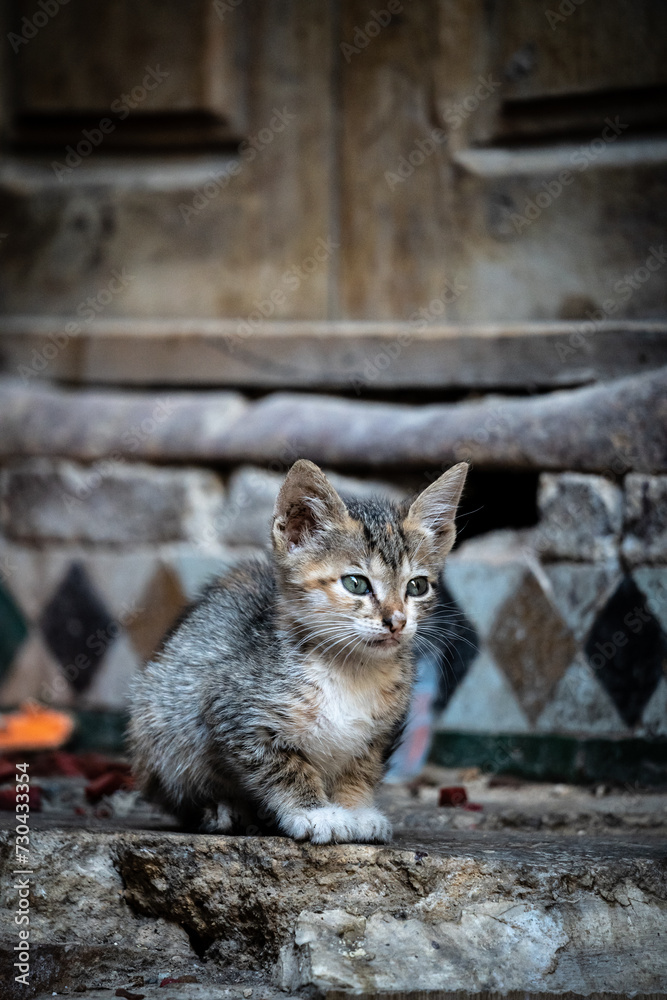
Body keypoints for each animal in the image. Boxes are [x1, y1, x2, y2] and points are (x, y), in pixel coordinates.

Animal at [129, 460, 464, 844]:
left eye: (417, 586)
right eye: (355, 583)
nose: (397, 621)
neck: (350, 668)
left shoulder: (380, 733)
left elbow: (360, 769)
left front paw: (356, 810)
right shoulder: (234, 712)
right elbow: (284, 767)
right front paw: (315, 813)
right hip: (159, 725)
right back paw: (222, 810)